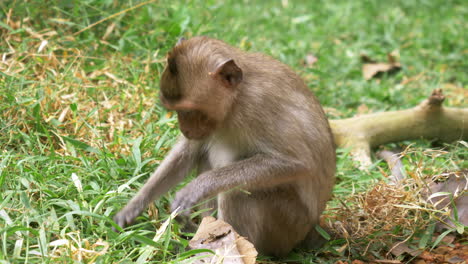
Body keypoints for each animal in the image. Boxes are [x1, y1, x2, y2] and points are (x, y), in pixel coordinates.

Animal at [115, 36, 338, 256]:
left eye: (189, 110)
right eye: (176, 110)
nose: (185, 130)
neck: (235, 100)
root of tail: (310, 230)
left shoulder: (258, 106)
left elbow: (296, 163)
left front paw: (196, 188)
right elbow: (186, 155)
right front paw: (132, 208)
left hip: (287, 226)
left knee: (237, 192)